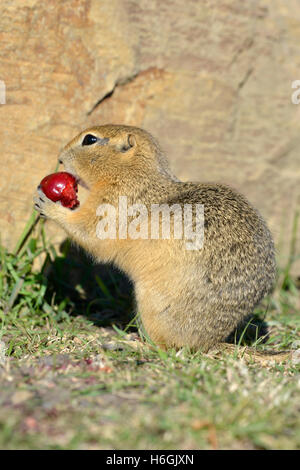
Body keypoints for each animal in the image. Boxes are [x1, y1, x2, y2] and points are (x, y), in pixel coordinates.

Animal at [34, 125, 278, 352]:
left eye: (90, 140)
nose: (60, 157)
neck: (132, 174)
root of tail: (210, 342)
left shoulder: (111, 206)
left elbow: (89, 231)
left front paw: (47, 203)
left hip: (151, 304)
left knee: (165, 347)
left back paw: (129, 343)